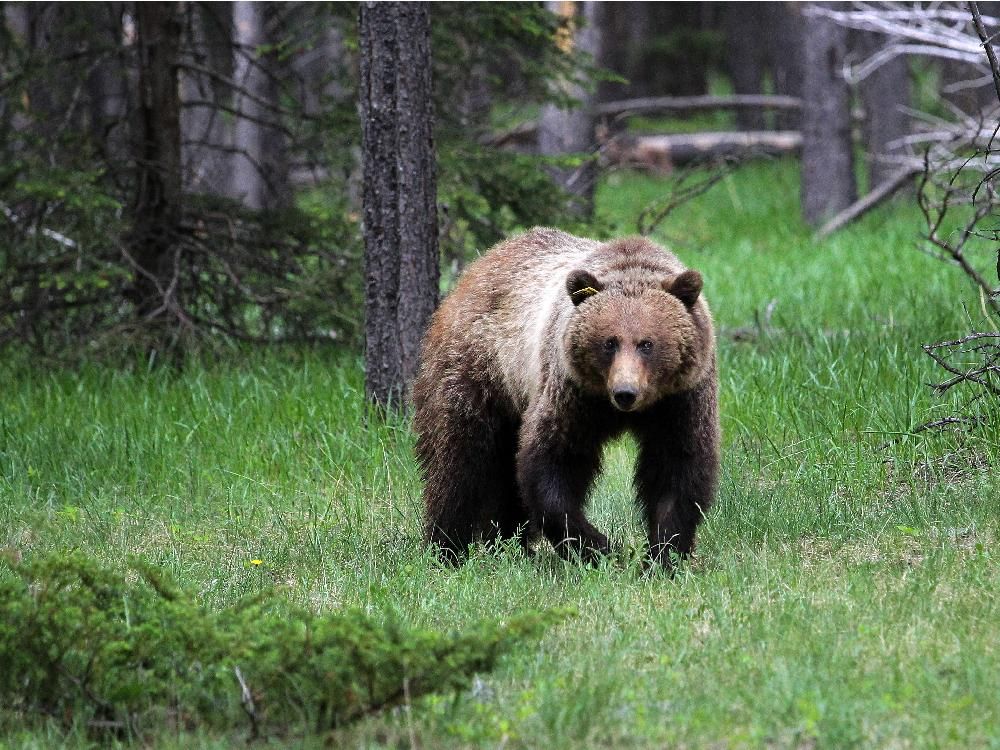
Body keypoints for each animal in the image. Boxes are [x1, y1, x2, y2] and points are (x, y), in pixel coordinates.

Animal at [412, 229, 720, 568]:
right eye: (609, 342)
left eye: (647, 344)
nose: (625, 393)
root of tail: (477, 267)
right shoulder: (572, 392)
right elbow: (552, 460)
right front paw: (602, 548)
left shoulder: (680, 401)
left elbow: (677, 468)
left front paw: (663, 556)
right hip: (480, 372)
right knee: (459, 461)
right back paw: (447, 548)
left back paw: (510, 546)